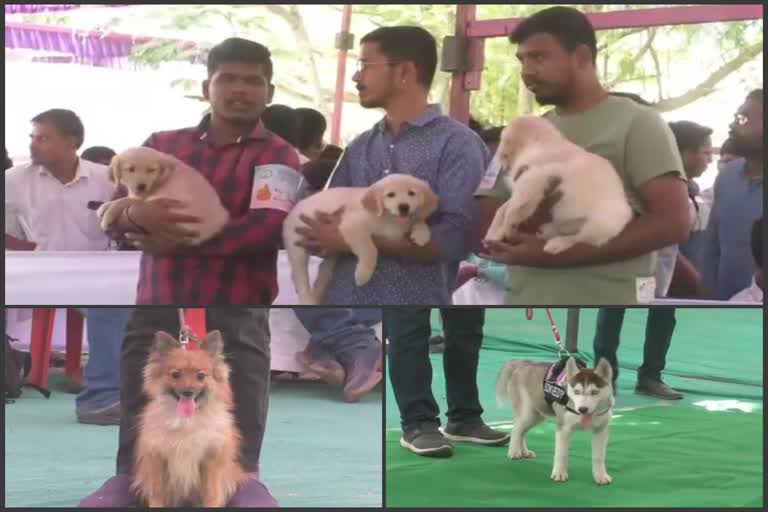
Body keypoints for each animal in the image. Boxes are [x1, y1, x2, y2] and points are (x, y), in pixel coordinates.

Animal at [96, 146, 230, 246]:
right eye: (131, 169)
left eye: (151, 170)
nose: (141, 186)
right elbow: (125, 198)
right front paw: (104, 207)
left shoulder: (147, 197)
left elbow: (124, 200)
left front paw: (107, 215)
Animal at [132, 330, 246, 506]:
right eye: (175, 375)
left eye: (201, 376)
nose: (188, 392)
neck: (186, 421)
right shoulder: (158, 458)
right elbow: (157, 493)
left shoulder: (210, 460)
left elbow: (211, 493)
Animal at [282, 174, 438, 306]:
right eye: (390, 195)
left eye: (412, 193)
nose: (404, 207)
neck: (390, 219)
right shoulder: (352, 225)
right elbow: (370, 250)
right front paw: (363, 275)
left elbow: (419, 220)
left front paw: (422, 234)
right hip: (297, 248)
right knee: (300, 278)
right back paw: (308, 300)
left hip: (331, 257)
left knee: (321, 272)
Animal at [484, 115, 632, 253]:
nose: (500, 159)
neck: (539, 140)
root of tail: (627, 213)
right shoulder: (524, 187)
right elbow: (502, 209)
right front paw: (492, 233)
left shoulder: (532, 181)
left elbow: (510, 210)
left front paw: (505, 229)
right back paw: (547, 231)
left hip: (600, 225)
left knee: (579, 238)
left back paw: (555, 244)